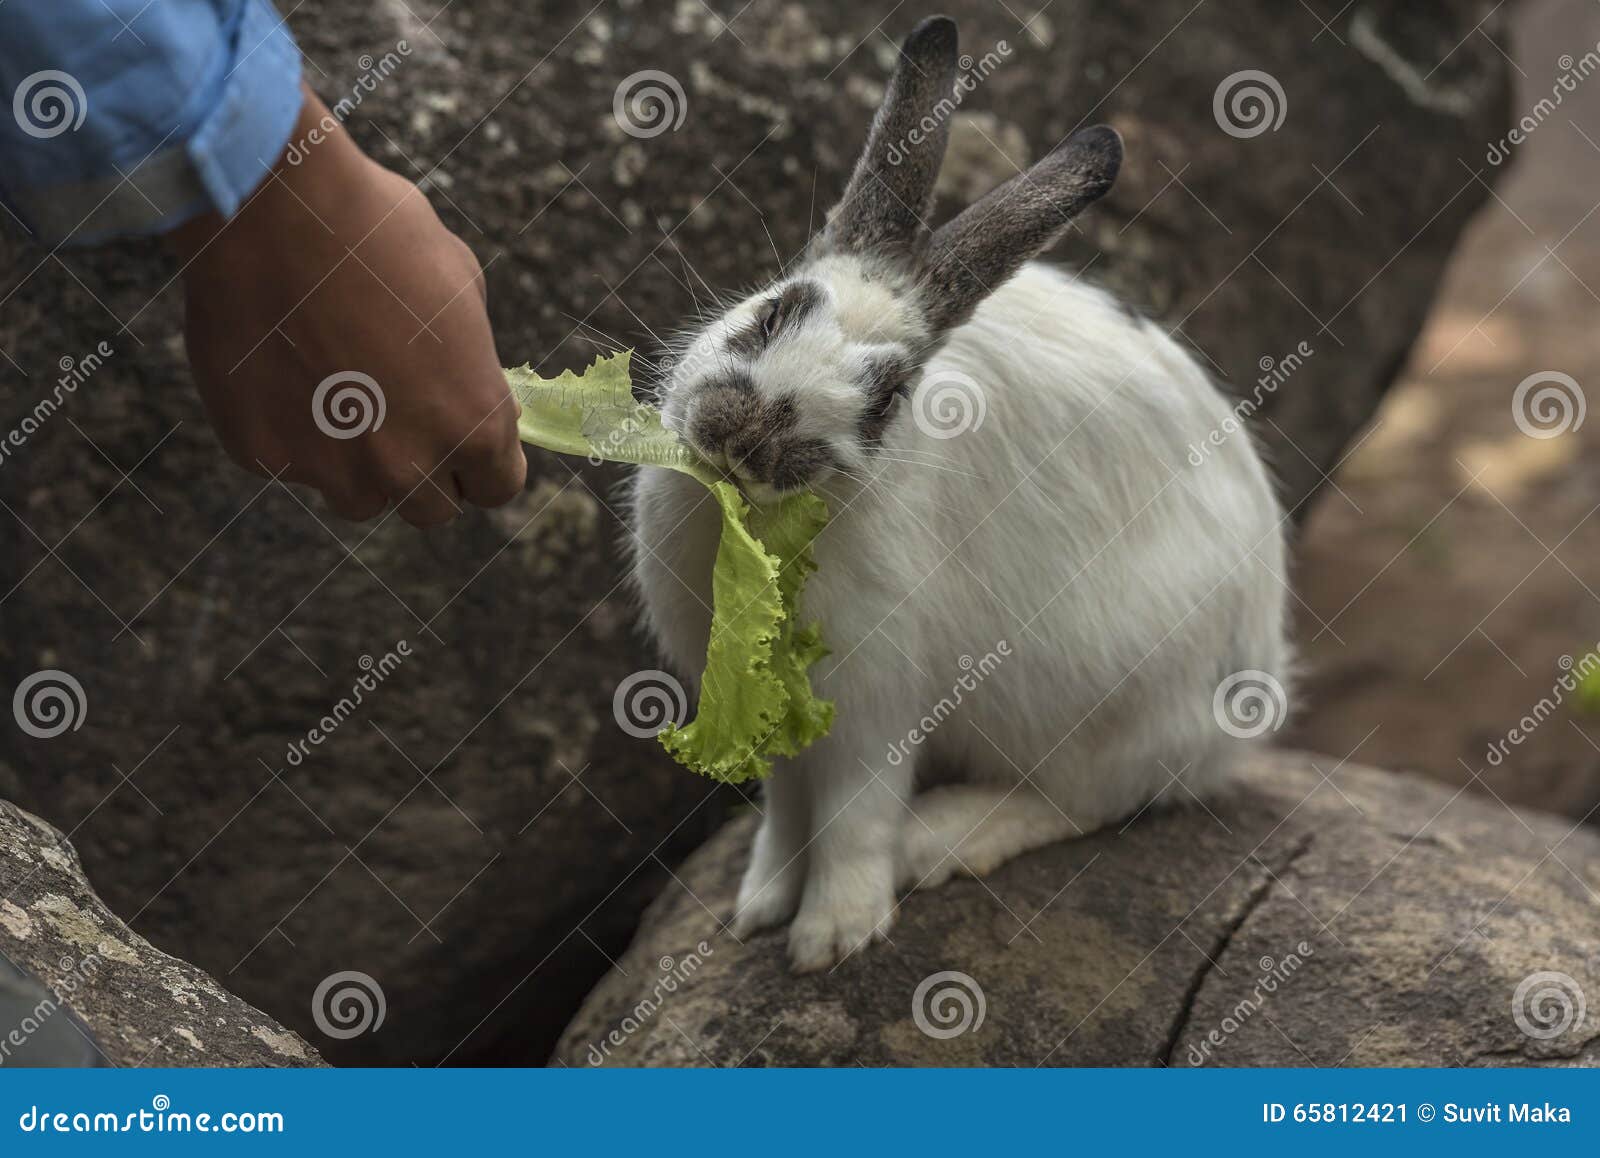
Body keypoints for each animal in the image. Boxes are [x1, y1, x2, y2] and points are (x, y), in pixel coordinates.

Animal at [628, 15, 1291, 972]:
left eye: (887, 399)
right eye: (773, 310)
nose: (743, 432)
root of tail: (1250, 704)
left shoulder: (874, 696)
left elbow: (854, 817)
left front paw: (832, 937)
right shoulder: (777, 715)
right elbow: (787, 812)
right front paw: (759, 906)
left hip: (1095, 698)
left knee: (1084, 800)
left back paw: (939, 839)